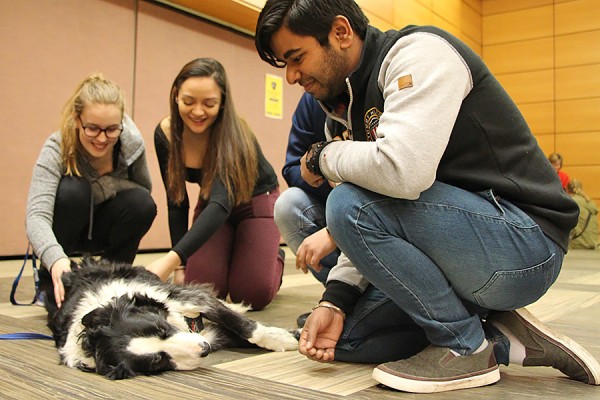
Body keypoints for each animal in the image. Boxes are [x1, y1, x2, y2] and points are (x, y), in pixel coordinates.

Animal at [39, 258, 298, 380]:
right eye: (157, 361)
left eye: (162, 328)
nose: (204, 349)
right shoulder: (206, 332)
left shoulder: (187, 298)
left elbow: (243, 326)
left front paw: (284, 338)